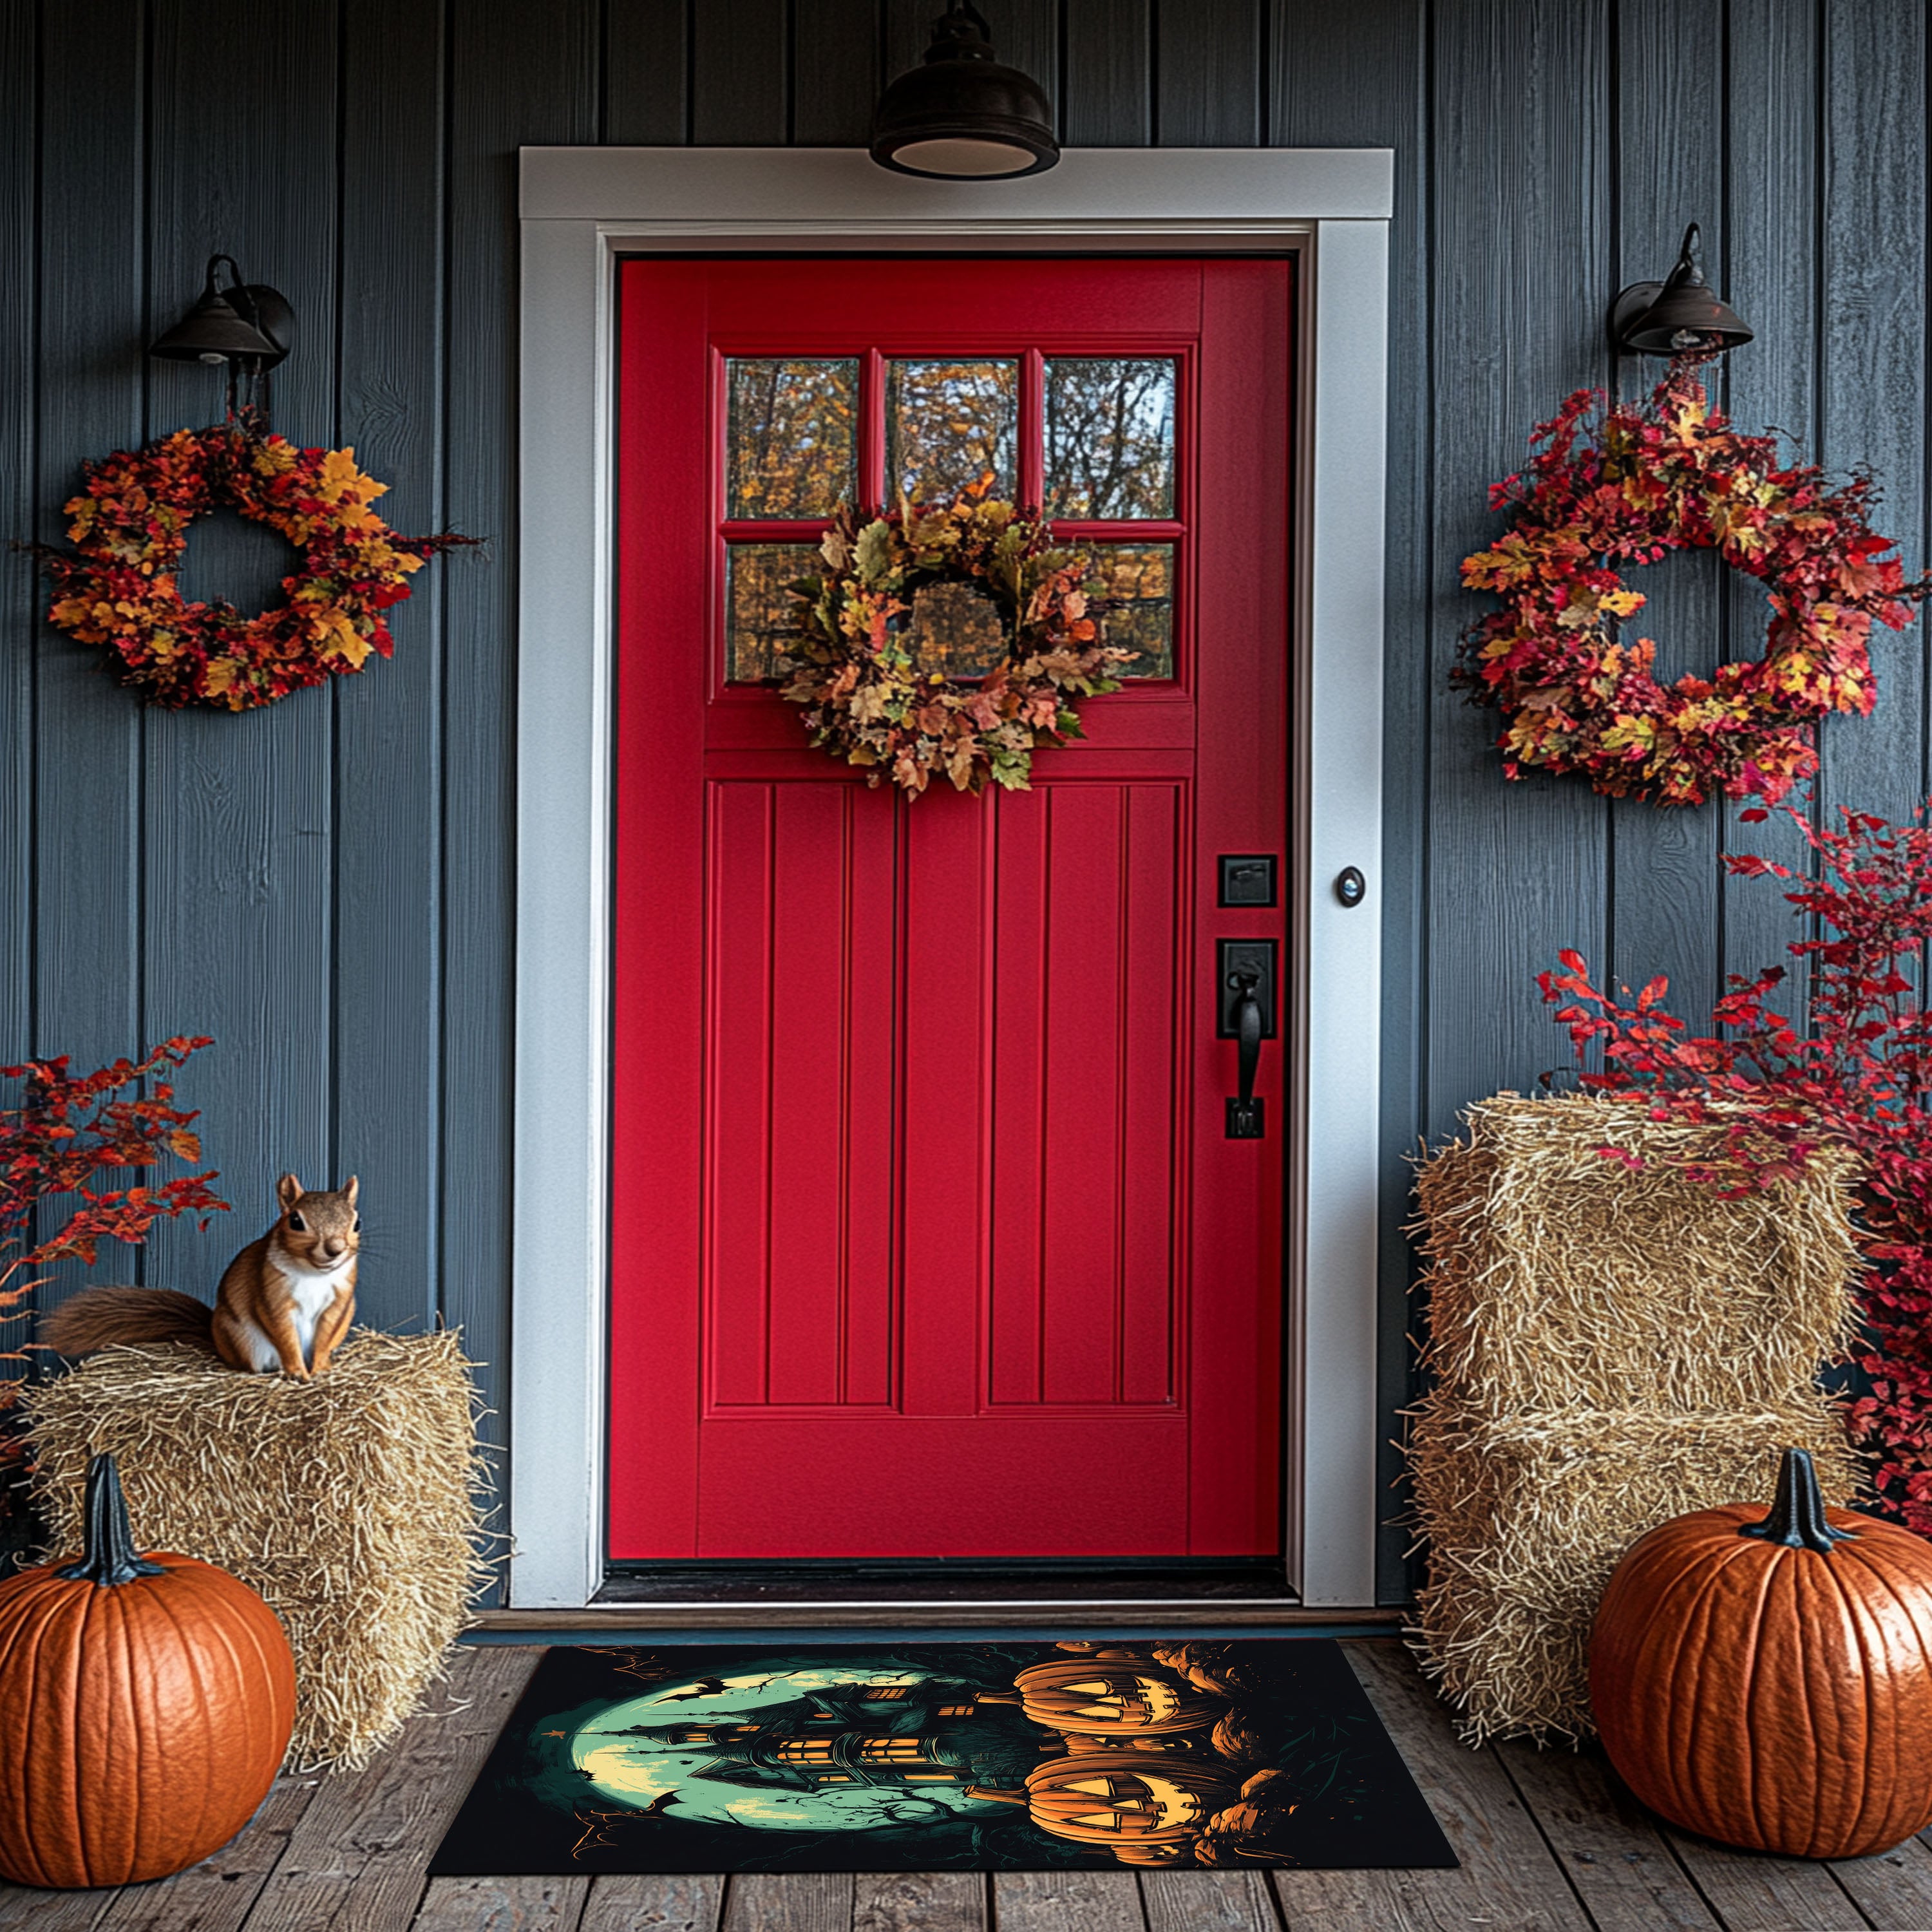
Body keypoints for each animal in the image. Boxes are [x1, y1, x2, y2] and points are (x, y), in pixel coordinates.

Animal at [41, 1167, 359, 1383]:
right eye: (295, 1221)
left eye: (356, 1224)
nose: (335, 1250)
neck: (314, 1274)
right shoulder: (271, 1293)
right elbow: (283, 1333)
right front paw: (296, 1371)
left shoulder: (340, 1300)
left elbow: (327, 1333)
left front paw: (319, 1369)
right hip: (246, 1341)